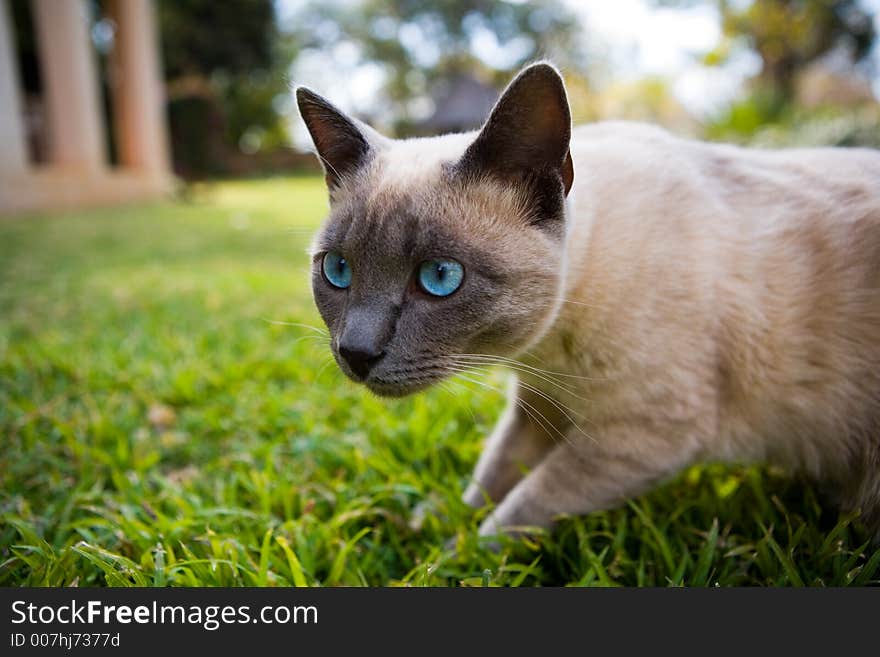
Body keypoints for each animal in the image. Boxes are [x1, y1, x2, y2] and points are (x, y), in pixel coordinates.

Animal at [296, 61, 880, 540]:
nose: (356, 353)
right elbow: (489, 478)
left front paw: (454, 557)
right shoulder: (541, 407)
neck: (548, 350)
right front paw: (426, 526)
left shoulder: (639, 434)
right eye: (338, 271)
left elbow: (516, 512)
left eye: (440, 277)